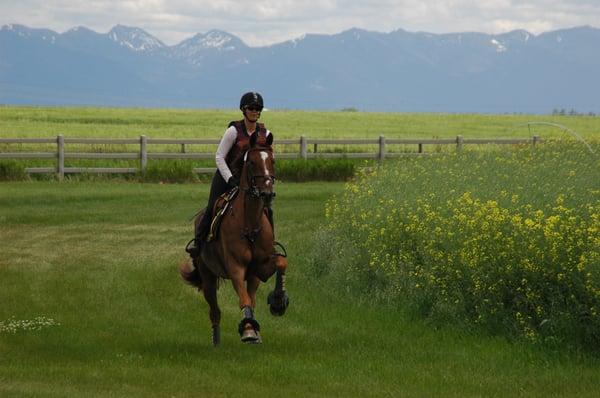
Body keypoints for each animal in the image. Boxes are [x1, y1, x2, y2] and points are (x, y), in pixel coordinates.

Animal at [179, 131, 290, 346]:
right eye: (252, 162)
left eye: (272, 160)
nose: (267, 193)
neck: (249, 224)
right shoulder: (235, 267)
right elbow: (243, 299)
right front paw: (247, 330)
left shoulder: (260, 268)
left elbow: (281, 263)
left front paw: (278, 302)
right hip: (208, 277)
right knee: (215, 311)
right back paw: (217, 341)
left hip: (250, 277)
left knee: (251, 297)